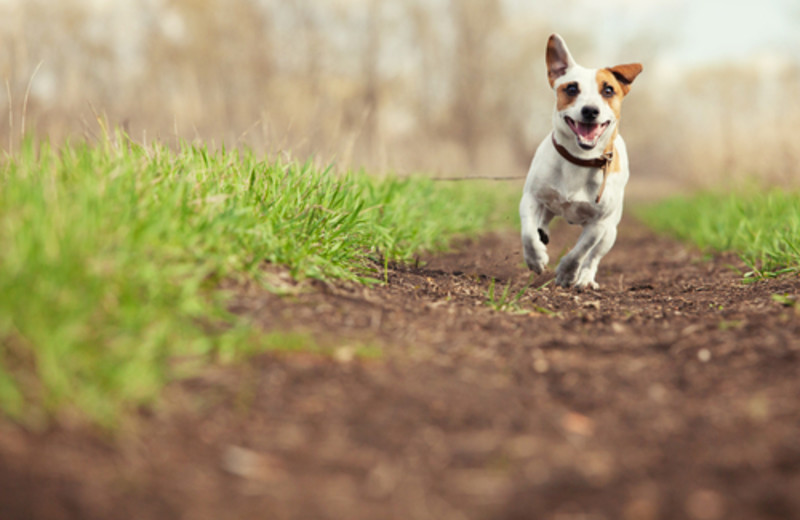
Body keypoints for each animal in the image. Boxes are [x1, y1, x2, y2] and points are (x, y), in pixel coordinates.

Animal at [520, 34, 644, 290]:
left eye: (608, 90)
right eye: (571, 88)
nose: (590, 110)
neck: (580, 159)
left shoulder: (599, 223)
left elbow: (580, 251)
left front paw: (568, 274)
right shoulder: (531, 197)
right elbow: (527, 232)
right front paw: (536, 258)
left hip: (610, 232)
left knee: (593, 256)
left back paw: (585, 278)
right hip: (550, 205)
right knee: (543, 220)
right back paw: (542, 233)